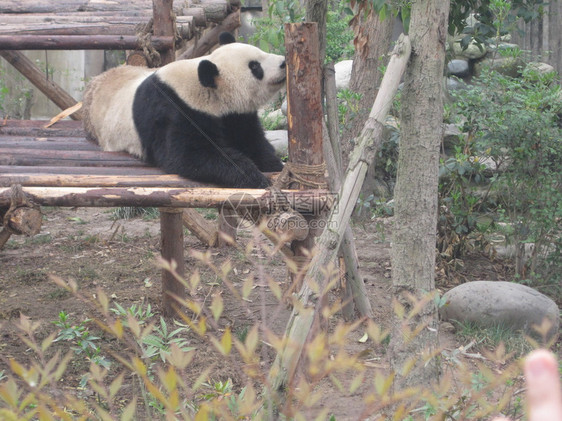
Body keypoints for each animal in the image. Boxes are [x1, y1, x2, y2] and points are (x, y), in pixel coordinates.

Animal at [82, 33, 284, 188]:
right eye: (255, 66)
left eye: (261, 52)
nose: (283, 62)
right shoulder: (177, 111)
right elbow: (190, 156)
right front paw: (254, 177)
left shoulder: (236, 115)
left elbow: (252, 139)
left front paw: (274, 164)